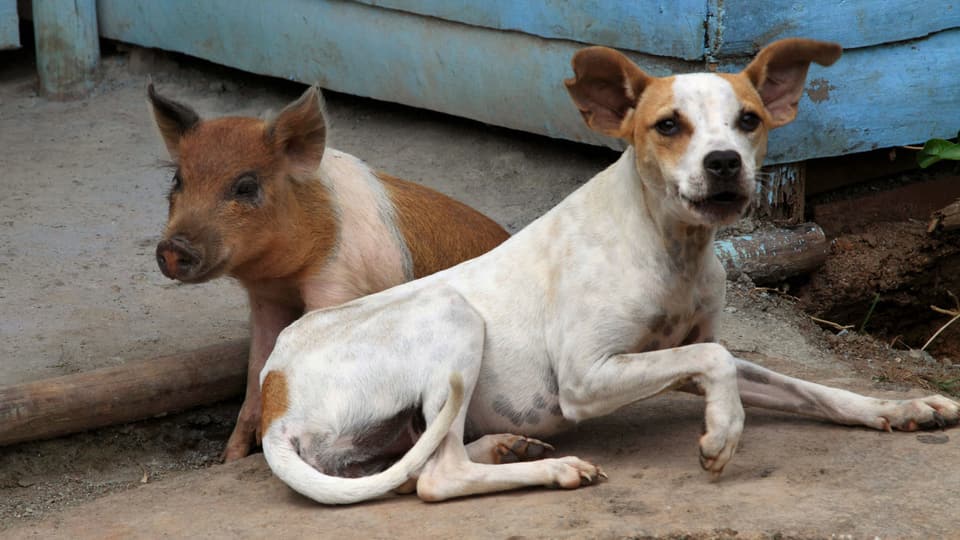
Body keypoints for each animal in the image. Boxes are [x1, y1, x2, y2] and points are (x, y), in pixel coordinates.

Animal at [256, 37, 960, 502]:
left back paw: (506, 446)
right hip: (451, 317)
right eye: (669, 126)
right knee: (435, 477)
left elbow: (804, 386)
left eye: (749, 120)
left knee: (414, 464)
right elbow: (719, 365)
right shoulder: (587, 377)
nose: (725, 163)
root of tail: (274, 394)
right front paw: (723, 435)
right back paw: (551, 468)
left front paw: (898, 408)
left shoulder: (686, 349)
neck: (667, 245)